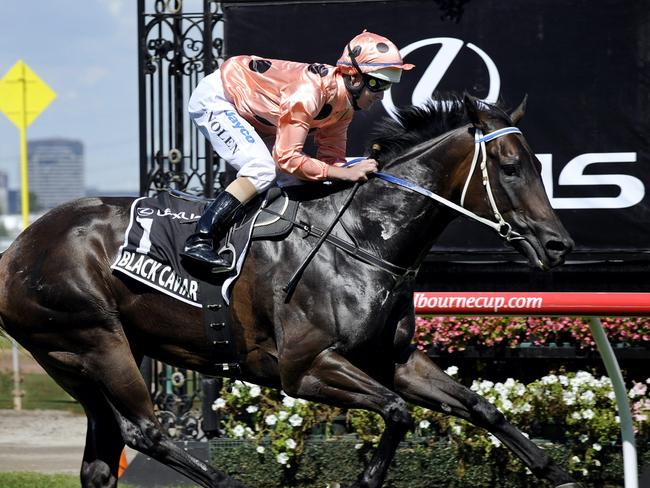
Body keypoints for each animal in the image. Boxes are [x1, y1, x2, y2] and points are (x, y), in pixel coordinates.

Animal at [0, 94, 576, 488]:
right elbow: (397, 411)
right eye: (510, 167)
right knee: (146, 432)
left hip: (76, 360)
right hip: (96, 340)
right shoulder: (304, 368)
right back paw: (227, 482)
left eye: (538, 164)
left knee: (103, 458)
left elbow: (480, 406)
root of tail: (15, 251)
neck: (361, 237)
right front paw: (365, 479)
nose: (559, 244)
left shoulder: (393, 359)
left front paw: (554, 469)